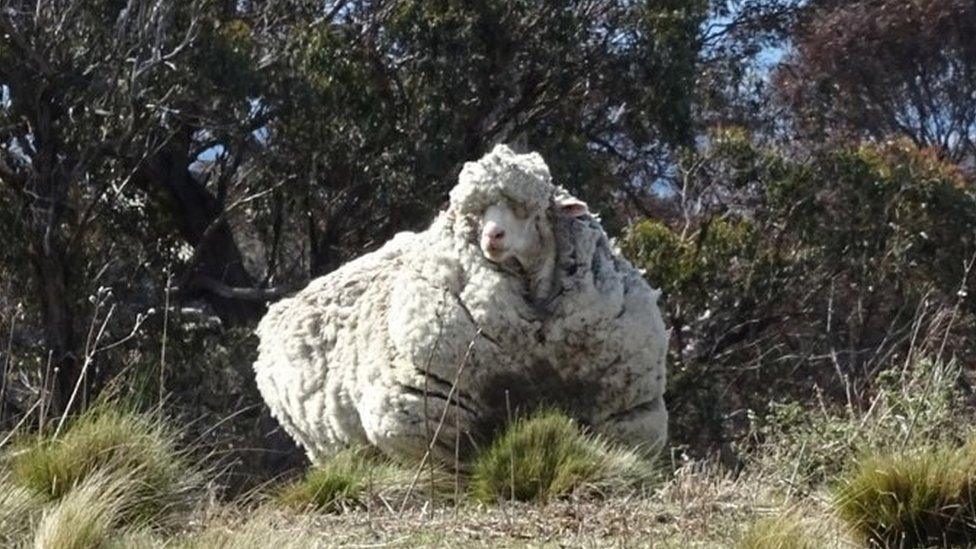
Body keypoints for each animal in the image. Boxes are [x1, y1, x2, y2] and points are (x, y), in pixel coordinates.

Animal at [252, 143, 668, 464]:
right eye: (476, 213)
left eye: (528, 209)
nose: (492, 236)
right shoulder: (427, 414)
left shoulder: (627, 412)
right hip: (327, 446)